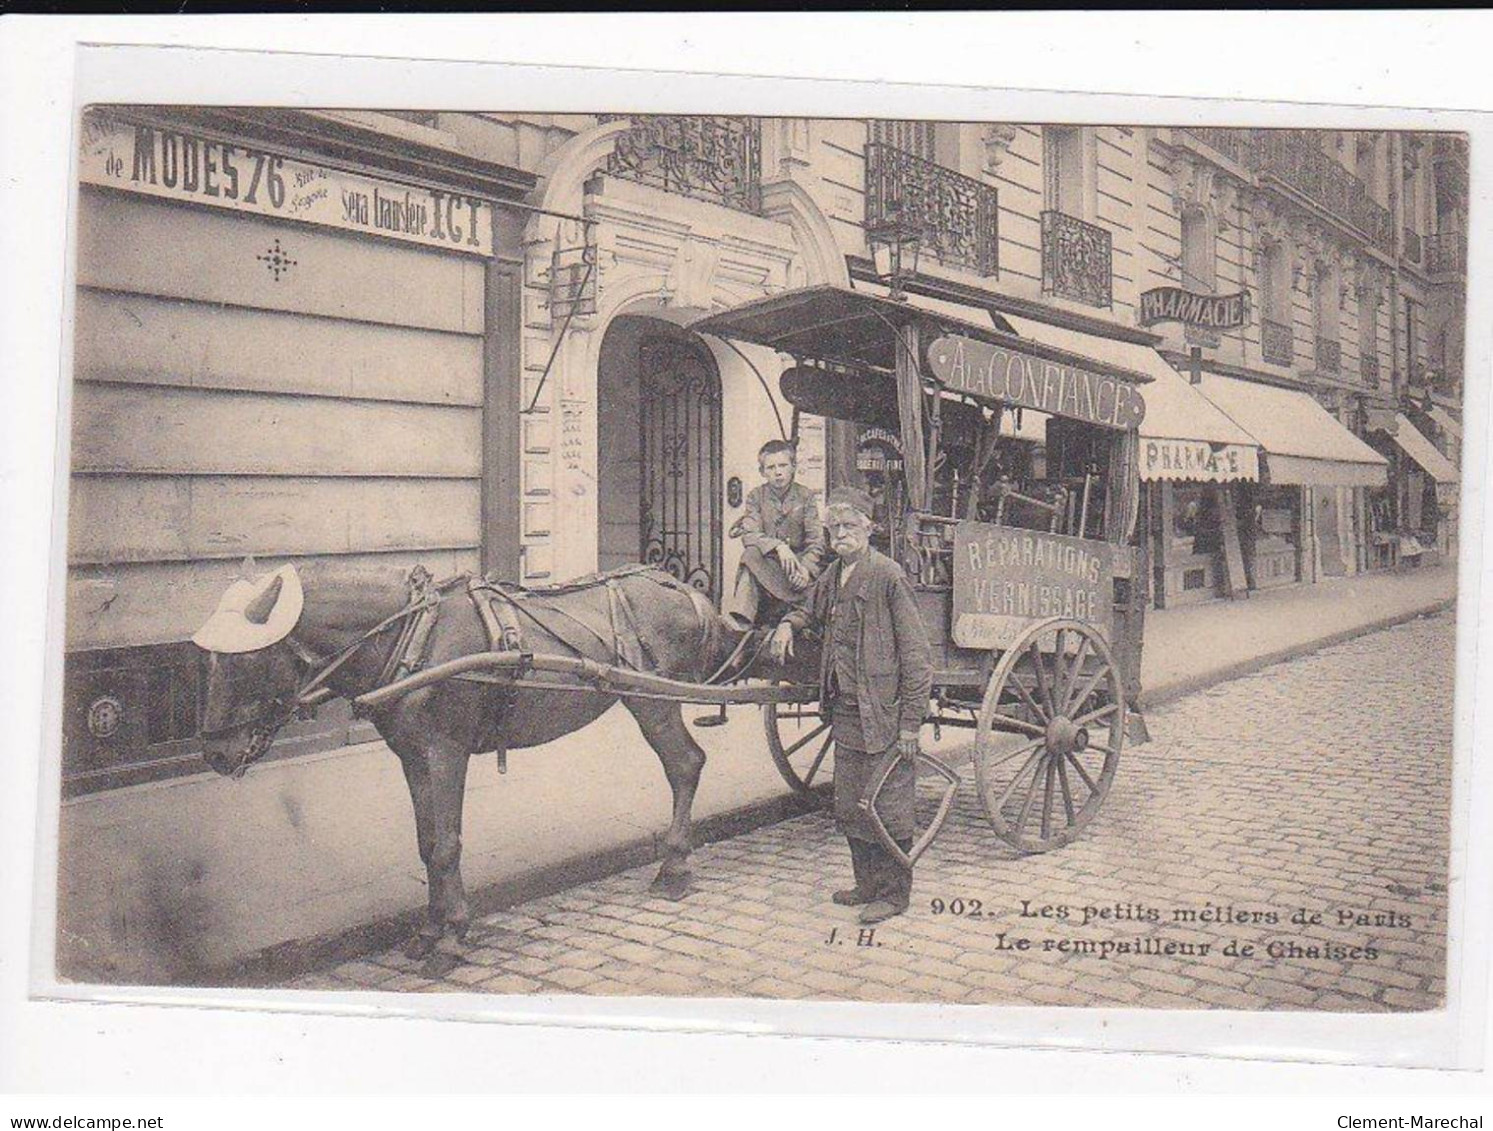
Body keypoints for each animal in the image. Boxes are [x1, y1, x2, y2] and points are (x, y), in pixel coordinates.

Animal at [201, 564, 806, 960]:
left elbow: (446, 845)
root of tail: (687, 590)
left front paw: (451, 935)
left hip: (652, 700)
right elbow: (426, 844)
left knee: (685, 765)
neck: (415, 637)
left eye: (245, 660)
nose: (214, 752)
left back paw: (674, 867)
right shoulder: (412, 755)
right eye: (206, 660)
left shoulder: (445, 751)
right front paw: (428, 931)